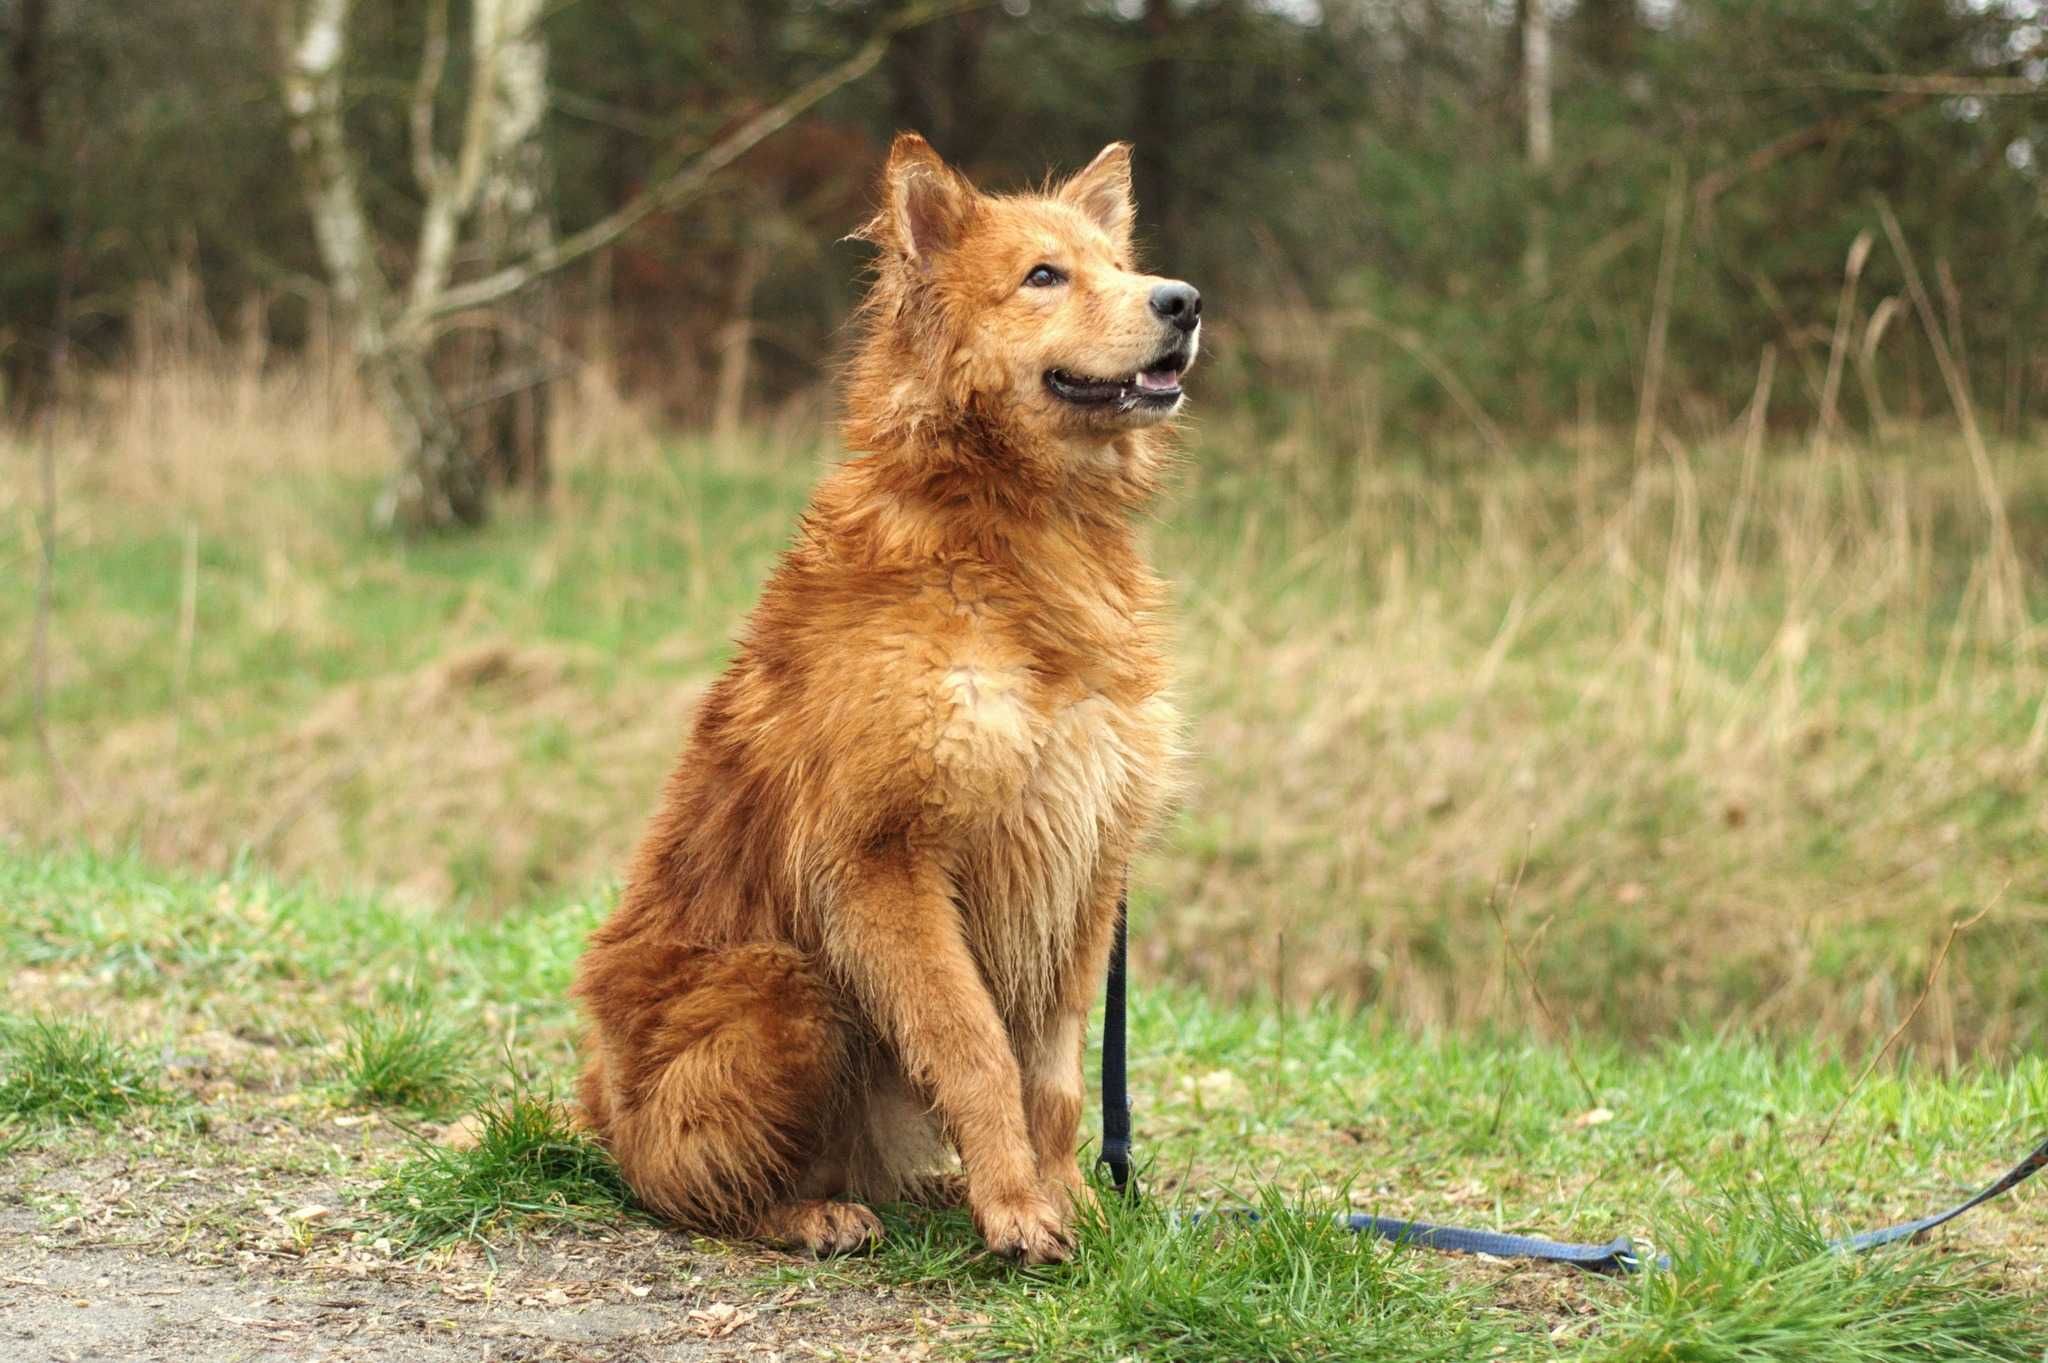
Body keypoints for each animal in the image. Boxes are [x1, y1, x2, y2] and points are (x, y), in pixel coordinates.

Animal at [569, 133, 1196, 1260]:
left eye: (1121, 266)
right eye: (1043, 276)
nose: (1184, 300)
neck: (1014, 534)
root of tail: (600, 1109)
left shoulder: (1086, 860)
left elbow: (1051, 1077)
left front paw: (1063, 1198)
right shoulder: (884, 856)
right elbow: (974, 1044)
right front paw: (1019, 1210)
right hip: (782, 986)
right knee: (686, 1185)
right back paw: (810, 1212)